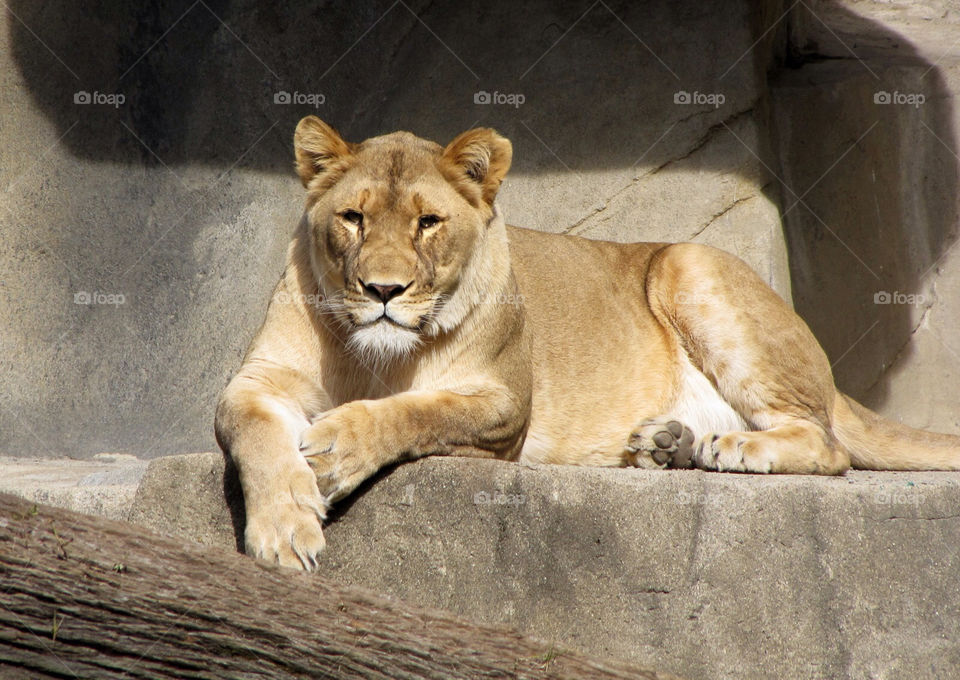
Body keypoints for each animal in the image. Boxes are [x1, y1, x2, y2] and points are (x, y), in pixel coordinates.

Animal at [215, 116, 960, 570]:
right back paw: (669, 444)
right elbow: (252, 430)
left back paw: (730, 447)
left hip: (689, 262)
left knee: (828, 446)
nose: (382, 290)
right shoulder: (258, 379)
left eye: (428, 222)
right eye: (352, 217)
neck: (371, 356)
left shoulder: (502, 402)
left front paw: (338, 448)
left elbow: (416, 410)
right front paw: (283, 528)